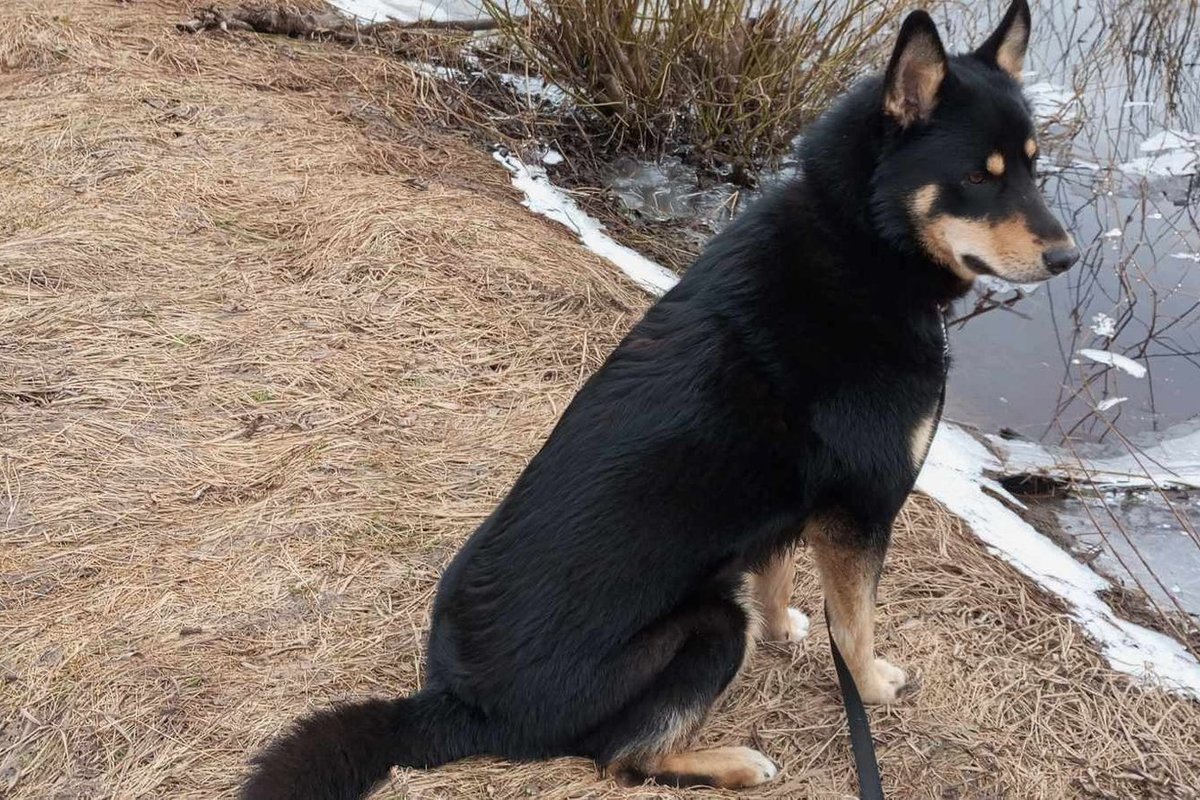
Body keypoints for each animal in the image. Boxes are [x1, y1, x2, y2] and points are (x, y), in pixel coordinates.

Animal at [241, 3, 1080, 796]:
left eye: (1033, 170)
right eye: (979, 177)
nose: (1068, 257)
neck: (864, 243)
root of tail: (458, 706)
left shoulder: (798, 504)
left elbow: (778, 571)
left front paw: (786, 626)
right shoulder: (863, 507)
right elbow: (857, 626)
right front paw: (872, 687)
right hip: (709, 624)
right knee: (623, 757)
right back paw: (733, 762)